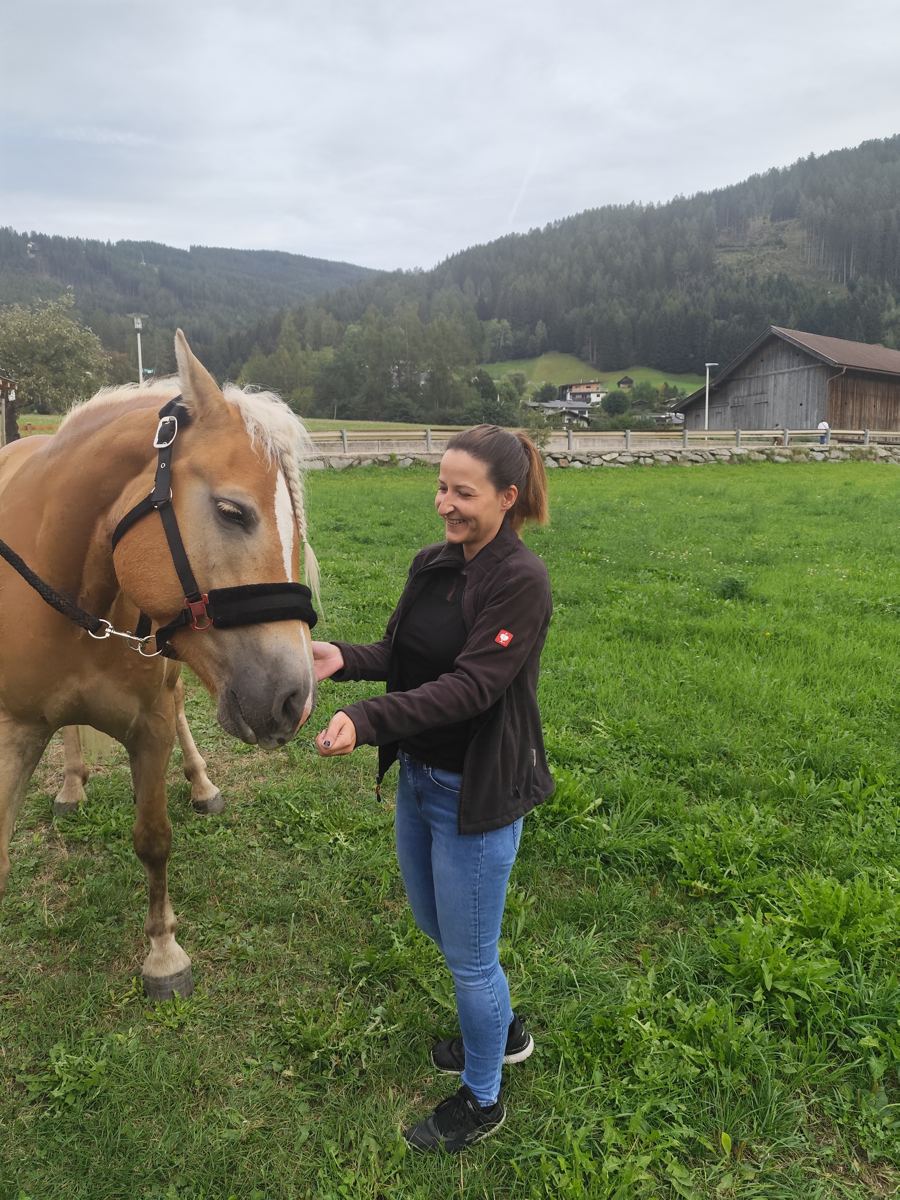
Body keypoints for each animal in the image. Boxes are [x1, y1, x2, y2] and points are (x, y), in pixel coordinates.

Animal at [0, 331, 319, 998]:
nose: (293, 701)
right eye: (231, 511)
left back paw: (201, 783)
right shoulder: (11, 731)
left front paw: (164, 955)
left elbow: (153, 839)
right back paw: (71, 784)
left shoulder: (149, 726)